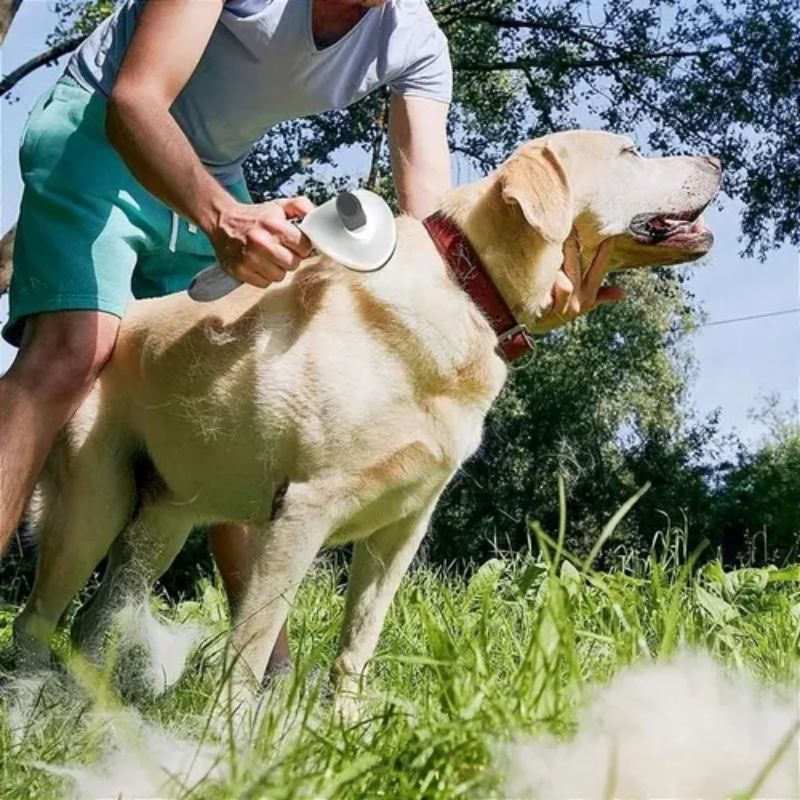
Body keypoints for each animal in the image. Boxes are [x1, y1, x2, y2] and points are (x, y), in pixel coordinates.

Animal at [12, 130, 720, 692]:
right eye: (629, 153)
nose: (715, 161)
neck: (469, 287)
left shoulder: (401, 529)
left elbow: (356, 648)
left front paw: (345, 726)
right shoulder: (301, 513)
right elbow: (250, 648)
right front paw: (233, 745)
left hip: (159, 526)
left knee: (97, 624)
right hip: (92, 509)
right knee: (37, 619)